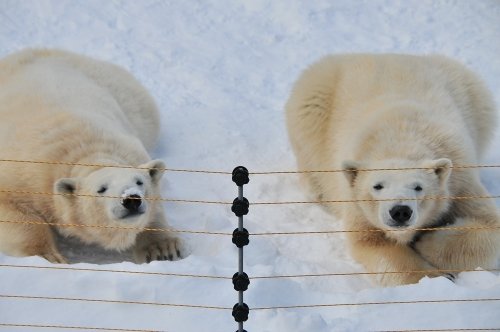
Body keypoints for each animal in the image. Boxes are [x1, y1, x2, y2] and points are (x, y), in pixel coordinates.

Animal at [0, 48, 187, 264]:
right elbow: (18, 216)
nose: (131, 199)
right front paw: (50, 257)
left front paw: (163, 250)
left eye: (139, 182)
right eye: (101, 189)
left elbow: (154, 208)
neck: (88, 152)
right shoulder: (22, 175)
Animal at [286, 53, 500, 286]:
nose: (400, 211)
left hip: (471, 93)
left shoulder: (460, 181)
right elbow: (373, 243)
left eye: (418, 187)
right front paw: (438, 275)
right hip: (316, 96)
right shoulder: (356, 202)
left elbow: (489, 224)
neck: (401, 140)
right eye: (377, 186)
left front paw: (426, 242)